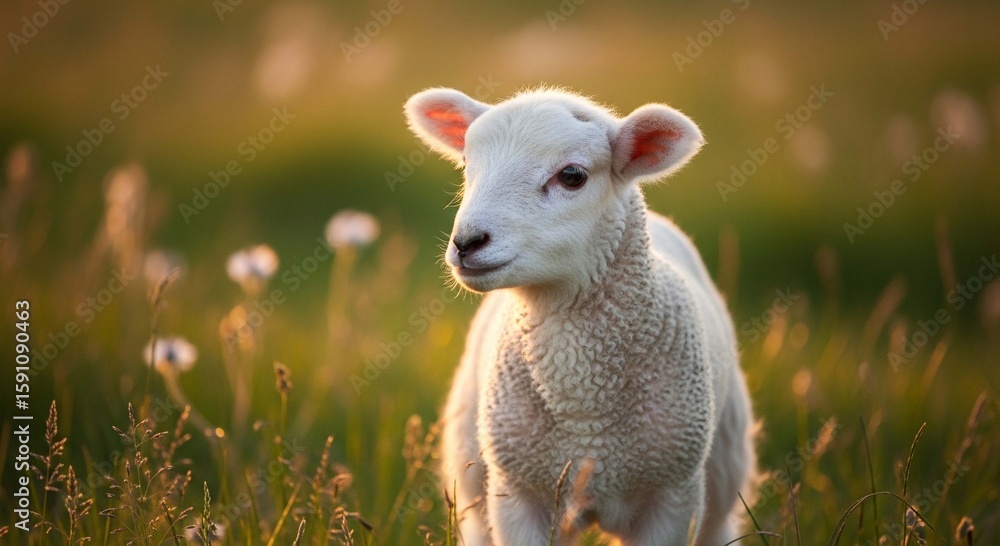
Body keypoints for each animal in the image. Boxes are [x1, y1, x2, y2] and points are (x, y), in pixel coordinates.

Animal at [404, 87, 756, 546]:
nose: (467, 242)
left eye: (572, 175)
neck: (585, 411)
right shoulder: (517, 494)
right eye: (466, 164)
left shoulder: (673, 497)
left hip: (723, 466)